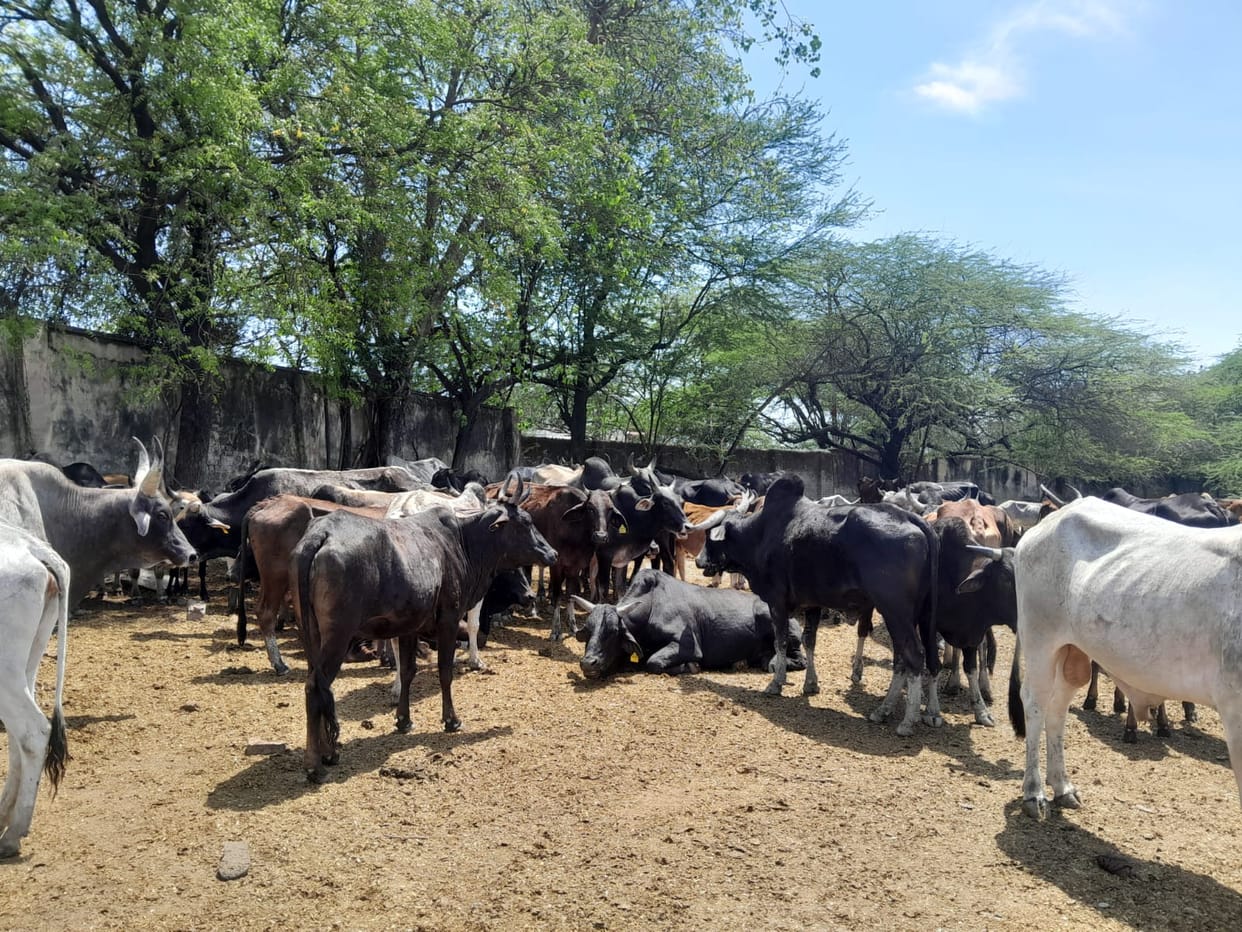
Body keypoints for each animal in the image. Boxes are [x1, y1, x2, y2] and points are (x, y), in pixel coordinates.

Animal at [290, 474, 557, 781]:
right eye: (525, 522)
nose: (553, 553)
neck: (464, 544)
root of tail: (320, 534)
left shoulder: (409, 627)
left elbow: (407, 672)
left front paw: (403, 720)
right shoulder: (449, 619)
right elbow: (444, 671)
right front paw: (451, 720)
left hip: (311, 634)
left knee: (319, 687)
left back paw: (328, 752)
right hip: (338, 635)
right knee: (315, 687)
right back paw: (315, 765)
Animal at [571, 570, 806, 678]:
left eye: (612, 631)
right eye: (588, 631)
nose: (588, 663)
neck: (652, 603)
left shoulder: (687, 645)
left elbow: (653, 662)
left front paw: (690, 666)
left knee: (794, 660)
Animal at [694, 475, 940, 736]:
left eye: (709, 536)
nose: (699, 561)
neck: (761, 534)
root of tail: (914, 519)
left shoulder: (777, 601)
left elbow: (780, 642)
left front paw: (776, 683)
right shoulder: (812, 604)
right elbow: (809, 641)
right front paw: (811, 684)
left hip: (895, 611)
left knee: (914, 655)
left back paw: (907, 720)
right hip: (920, 613)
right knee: (909, 658)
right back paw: (891, 710)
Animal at [1008, 497, 1242, 819]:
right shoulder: (1234, 709)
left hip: (1073, 652)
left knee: (1058, 707)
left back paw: (1063, 787)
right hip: (1039, 639)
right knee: (1034, 704)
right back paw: (1034, 792)